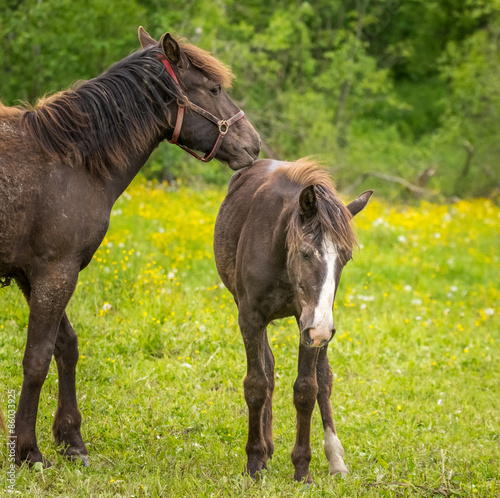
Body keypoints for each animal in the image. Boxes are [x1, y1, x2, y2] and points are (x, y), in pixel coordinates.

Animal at [0, 27, 258, 468]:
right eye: (214, 88)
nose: (254, 145)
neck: (70, 161)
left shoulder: (32, 275)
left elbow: (65, 347)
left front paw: (70, 437)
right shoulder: (55, 271)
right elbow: (36, 359)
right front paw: (29, 450)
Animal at [213, 159, 374, 482]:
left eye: (345, 258)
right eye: (305, 253)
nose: (323, 329)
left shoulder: (309, 324)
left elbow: (306, 390)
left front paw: (302, 469)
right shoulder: (251, 318)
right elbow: (256, 385)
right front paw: (254, 461)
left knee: (323, 379)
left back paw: (335, 458)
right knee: (268, 370)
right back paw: (266, 449)